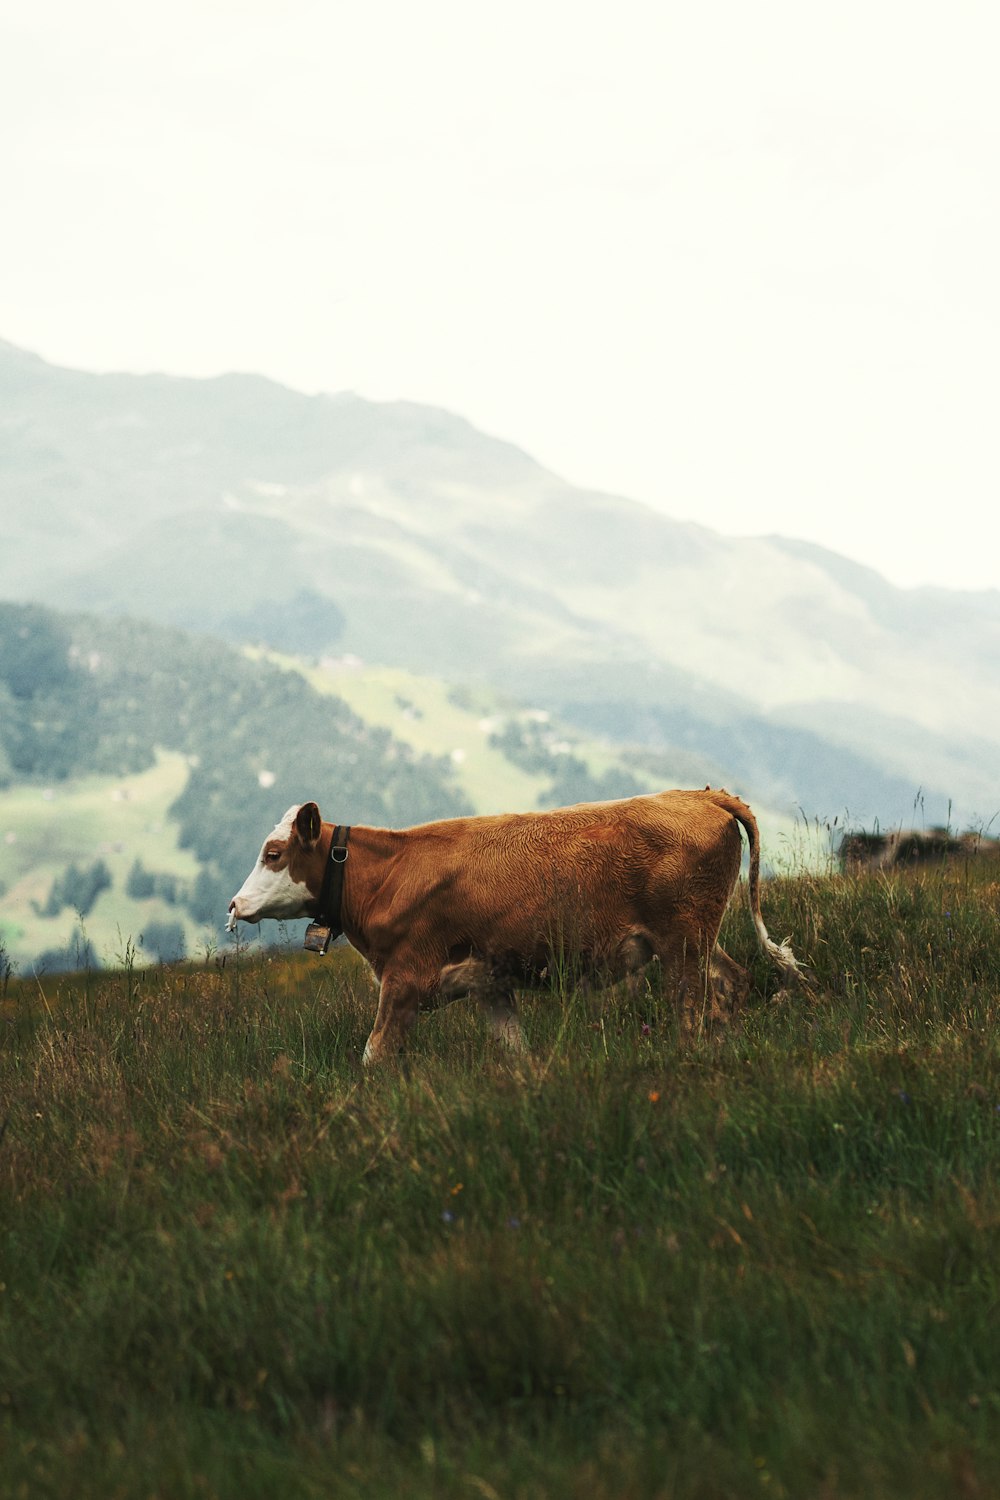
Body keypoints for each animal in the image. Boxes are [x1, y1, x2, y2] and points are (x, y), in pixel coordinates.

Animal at [229, 786, 803, 1068]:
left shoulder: (405, 978)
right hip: (701, 937)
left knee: (692, 1007)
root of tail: (699, 794)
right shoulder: (490, 985)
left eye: (273, 853)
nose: (234, 905)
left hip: (682, 941)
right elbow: (515, 1048)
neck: (388, 874)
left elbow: (373, 1056)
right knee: (732, 983)